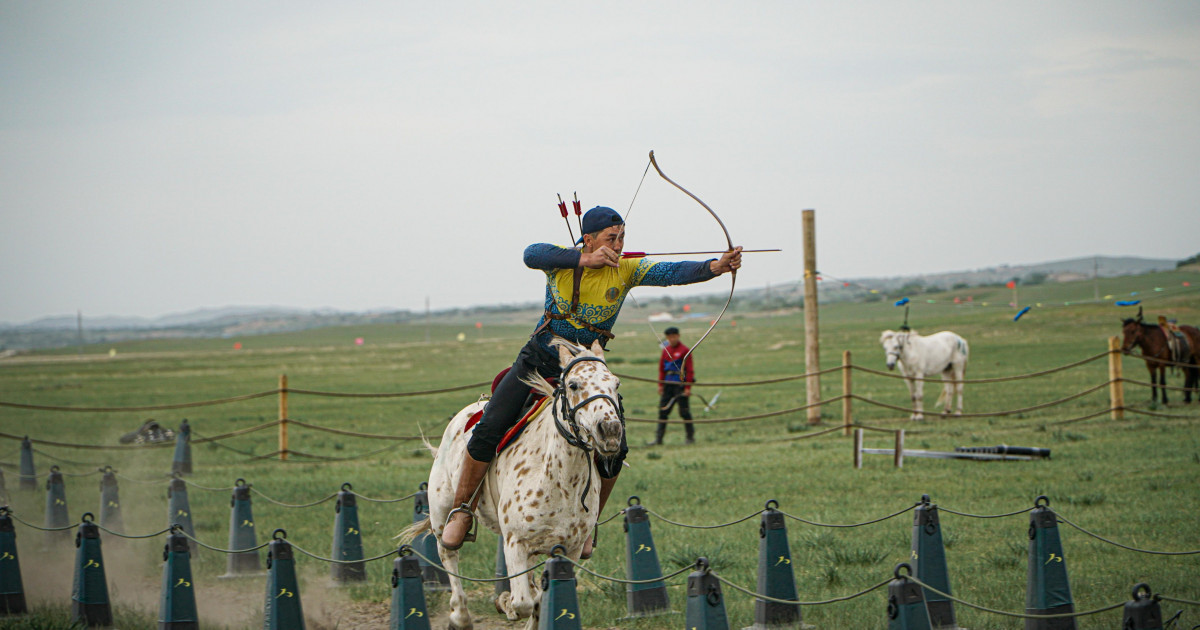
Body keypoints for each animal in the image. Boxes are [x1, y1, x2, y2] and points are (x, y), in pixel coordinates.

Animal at [405, 338, 628, 628]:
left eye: (615, 384)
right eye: (573, 385)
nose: (610, 431)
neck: (561, 482)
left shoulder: (569, 550)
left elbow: (540, 600)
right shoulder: (515, 544)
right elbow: (523, 602)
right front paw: (506, 603)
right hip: (441, 514)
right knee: (449, 557)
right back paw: (460, 616)